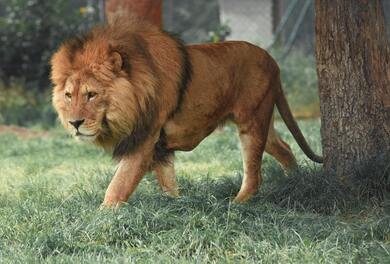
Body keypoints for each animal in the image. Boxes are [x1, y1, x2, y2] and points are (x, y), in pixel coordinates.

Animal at [50, 16, 322, 206]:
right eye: (68, 95)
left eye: (91, 94)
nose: (75, 123)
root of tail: (272, 61)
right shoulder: (158, 146)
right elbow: (167, 181)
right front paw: (176, 205)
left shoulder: (144, 139)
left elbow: (119, 185)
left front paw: (102, 216)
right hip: (262, 119)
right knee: (284, 147)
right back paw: (294, 181)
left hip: (252, 122)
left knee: (254, 175)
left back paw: (235, 205)